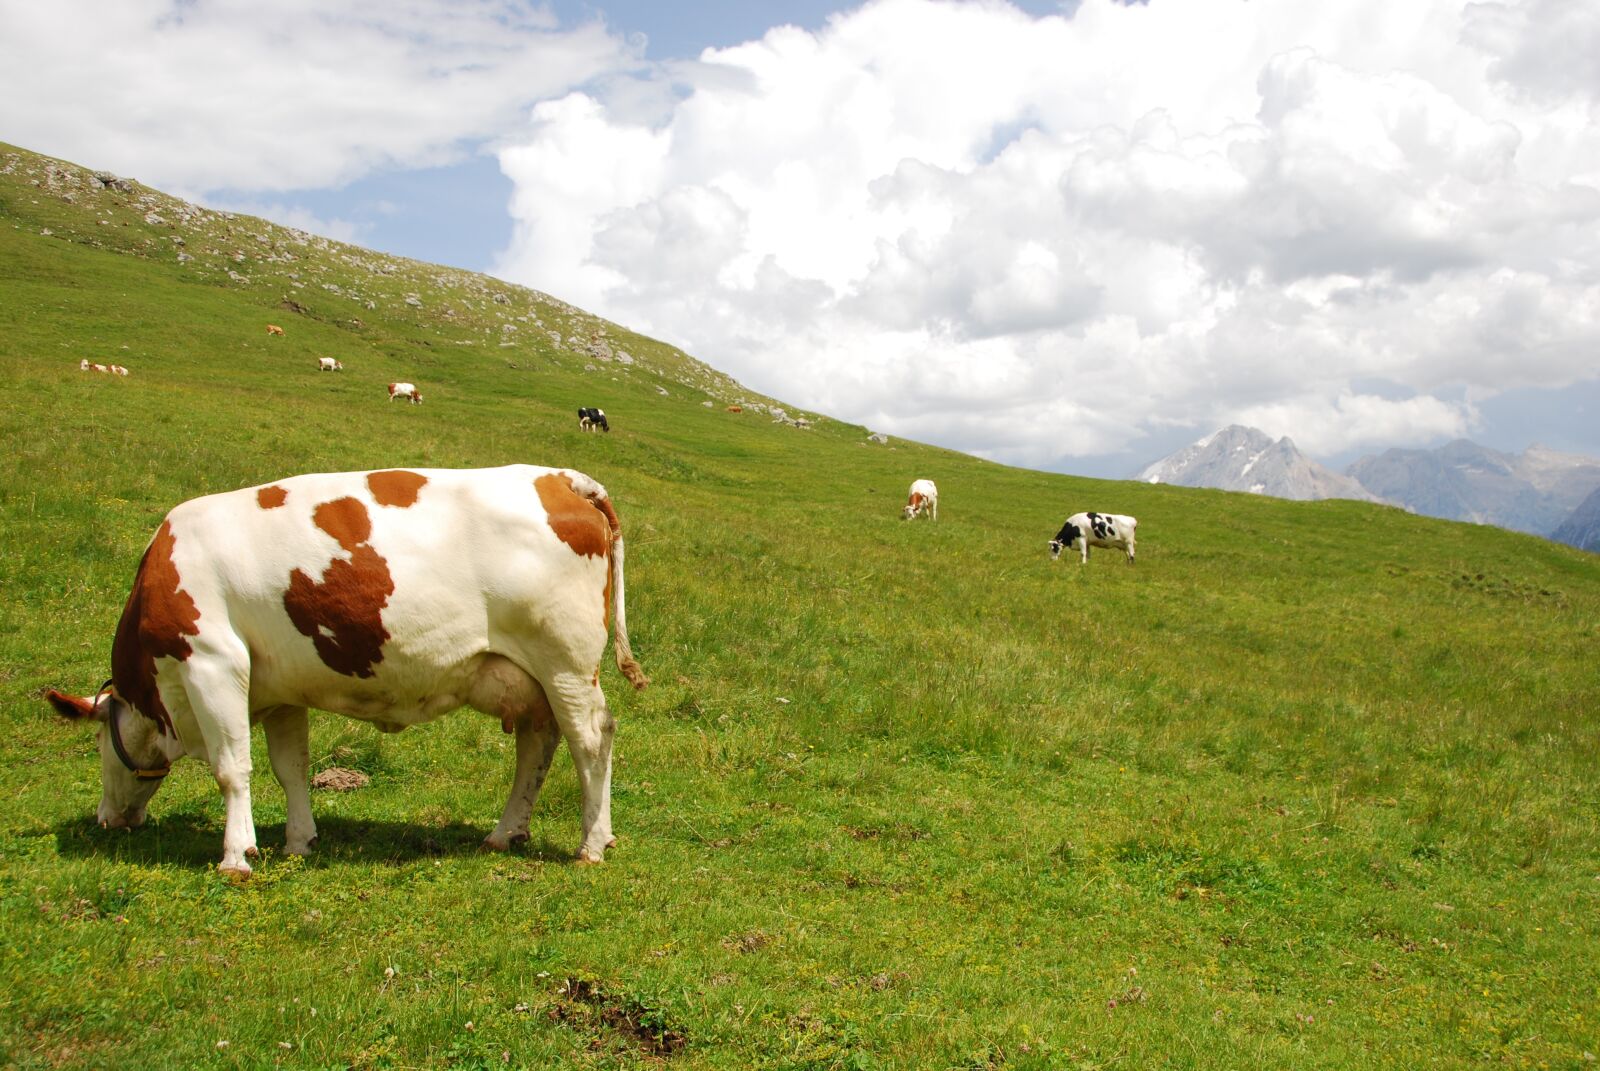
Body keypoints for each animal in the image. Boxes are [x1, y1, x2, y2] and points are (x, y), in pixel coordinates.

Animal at [45, 465, 648, 878]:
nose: (106, 819)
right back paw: (505, 833)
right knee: (537, 746)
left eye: (97, 742)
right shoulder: (279, 689)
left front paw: (237, 856)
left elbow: (231, 768)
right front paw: (299, 842)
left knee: (591, 740)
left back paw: (593, 844)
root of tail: (559, 478)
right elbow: (290, 768)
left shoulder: (213, 662)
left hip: (565, 664)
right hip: (529, 677)